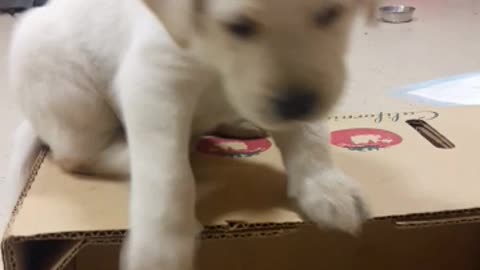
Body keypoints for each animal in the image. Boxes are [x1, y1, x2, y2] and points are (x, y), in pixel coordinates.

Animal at [6, 0, 376, 268]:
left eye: (330, 13)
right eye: (239, 26)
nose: (298, 104)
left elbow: (310, 136)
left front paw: (326, 187)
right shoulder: (154, 81)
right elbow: (169, 176)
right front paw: (160, 250)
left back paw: (238, 124)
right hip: (71, 94)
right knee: (78, 156)